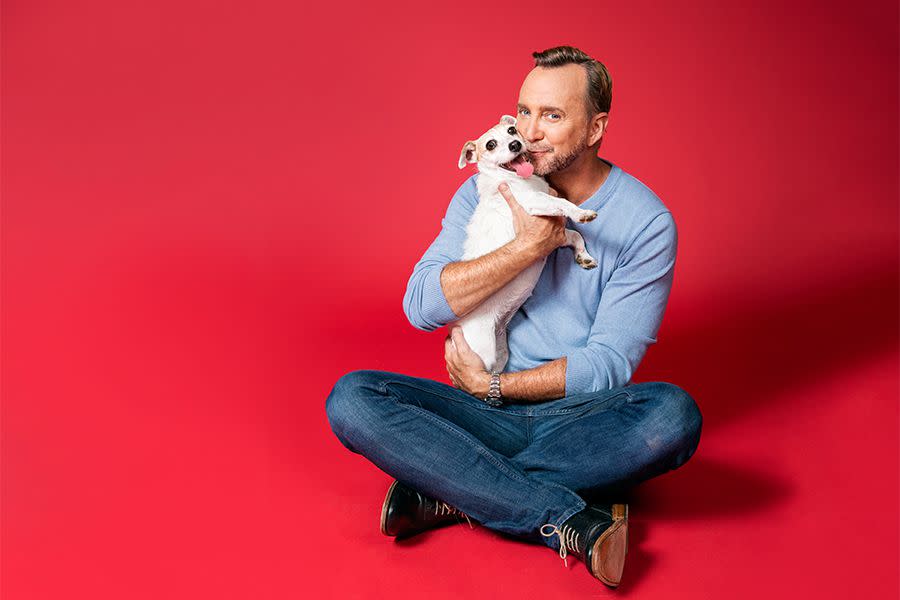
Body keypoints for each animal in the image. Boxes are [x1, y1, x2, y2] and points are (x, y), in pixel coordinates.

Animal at [458, 114, 596, 372]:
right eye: (490, 144)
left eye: (512, 131)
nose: (515, 145)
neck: (518, 180)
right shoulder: (535, 203)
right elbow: (562, 204)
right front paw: (580, 213)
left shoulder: (555, 234)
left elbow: (576, 236)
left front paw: (584, 257)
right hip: (483, 352)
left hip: (500, 354)